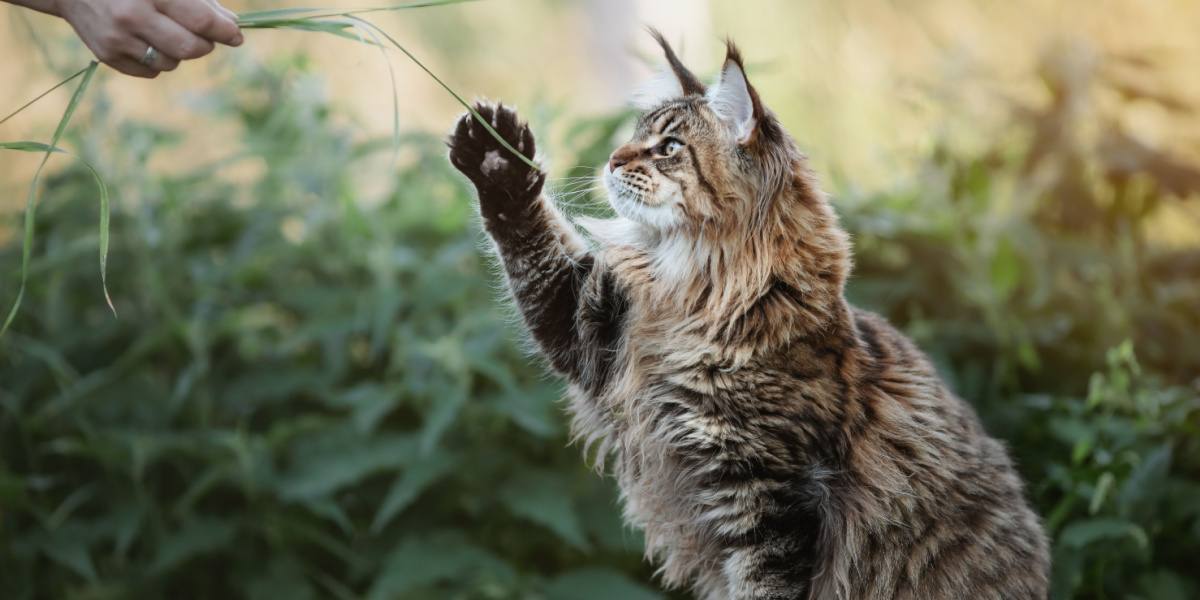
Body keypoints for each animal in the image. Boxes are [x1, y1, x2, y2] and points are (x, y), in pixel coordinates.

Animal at [446, 31, 1046, 600]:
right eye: (633, 137)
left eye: (668, 147)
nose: (612, 161)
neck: (696, 295)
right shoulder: (592, 327)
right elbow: (532, 244)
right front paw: (497, 158)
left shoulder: (771, 497)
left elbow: (764, 583)